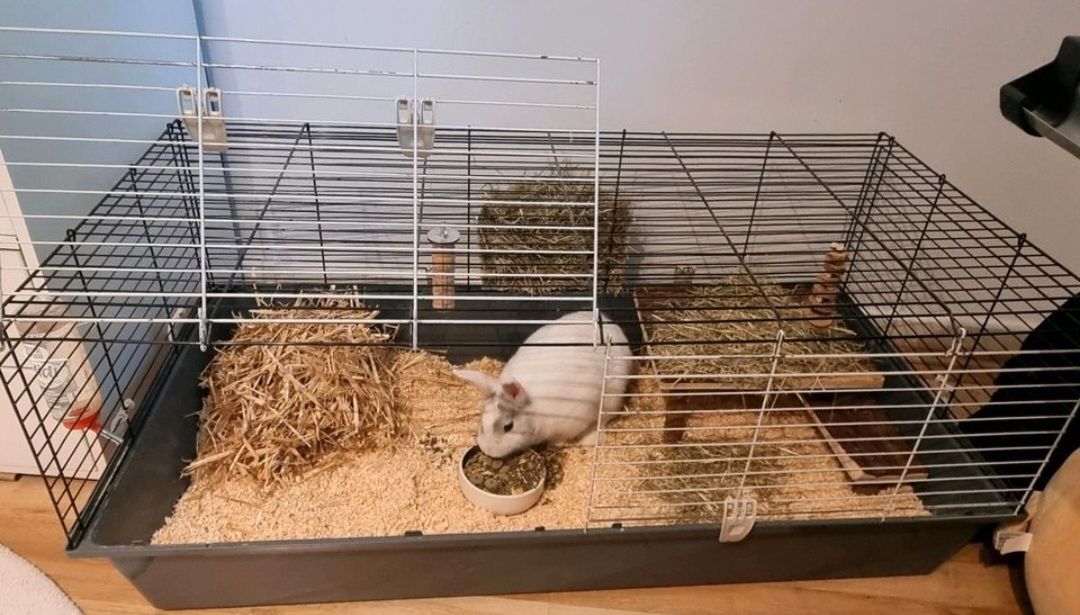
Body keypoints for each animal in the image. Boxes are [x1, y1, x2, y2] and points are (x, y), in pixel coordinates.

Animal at [454, 310, 634, 458]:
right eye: (481, 421)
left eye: (508, 426)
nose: (489, 451)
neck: (535, 412)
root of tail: (609, 323)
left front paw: (556, 444)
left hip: (612, 396)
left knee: (604, 419)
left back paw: (590, 439)